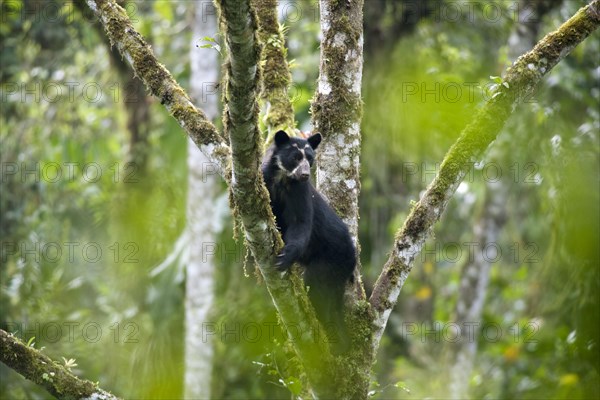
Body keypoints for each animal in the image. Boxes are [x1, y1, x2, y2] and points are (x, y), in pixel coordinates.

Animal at [262, 130, 356, 352]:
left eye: (310, 158)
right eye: (296, 157)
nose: (305, 174)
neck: (283, 179)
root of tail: (353, 256)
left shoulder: (300, 191)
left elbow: (301, 223)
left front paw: (284, 258)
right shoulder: (265, 181)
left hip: (330, 262)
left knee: (317, 288)